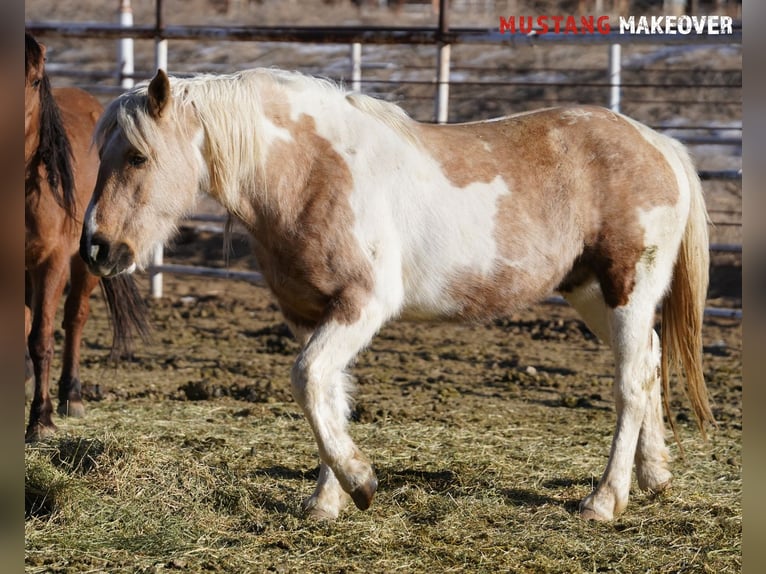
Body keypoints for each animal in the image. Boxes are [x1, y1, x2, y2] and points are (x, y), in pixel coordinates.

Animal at [24, 33, 151, 444]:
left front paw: (41, 420)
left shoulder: (52, 262)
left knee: (75, 318)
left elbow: (42, 337)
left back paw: (72, 396)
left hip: (87, 260)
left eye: (35, 81)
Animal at [82, 70, 712, 524]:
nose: (97, 248)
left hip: (627, 287)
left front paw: (360, 483)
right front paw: (325, 503)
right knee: (651, 363)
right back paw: (655, 477)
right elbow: (329, 395)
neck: (312, 173)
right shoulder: (311, 313)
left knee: (630, 384)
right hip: (589, 293)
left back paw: (604, 501)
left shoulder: (362, 306)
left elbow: (308, 378)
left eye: (137, 156)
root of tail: (659, 144)